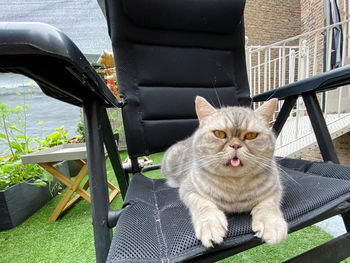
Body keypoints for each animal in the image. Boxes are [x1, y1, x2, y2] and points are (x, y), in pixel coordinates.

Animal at [161, 96, 288, 249]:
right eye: (219, 134)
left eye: (251, 135)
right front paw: (210, 225)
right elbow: (204, 205)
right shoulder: (189, 190)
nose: (235, 145)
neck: (235, 186)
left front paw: (272, 225)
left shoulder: (275, 190)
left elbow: (268, 206)